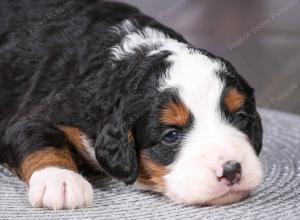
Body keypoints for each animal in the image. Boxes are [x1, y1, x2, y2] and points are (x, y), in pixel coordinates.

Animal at [0, 0, 262, 210]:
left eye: (240, 118)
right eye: (171, 135)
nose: (231, 170)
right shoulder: (30, 114)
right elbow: (40, 139)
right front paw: (60, 181)